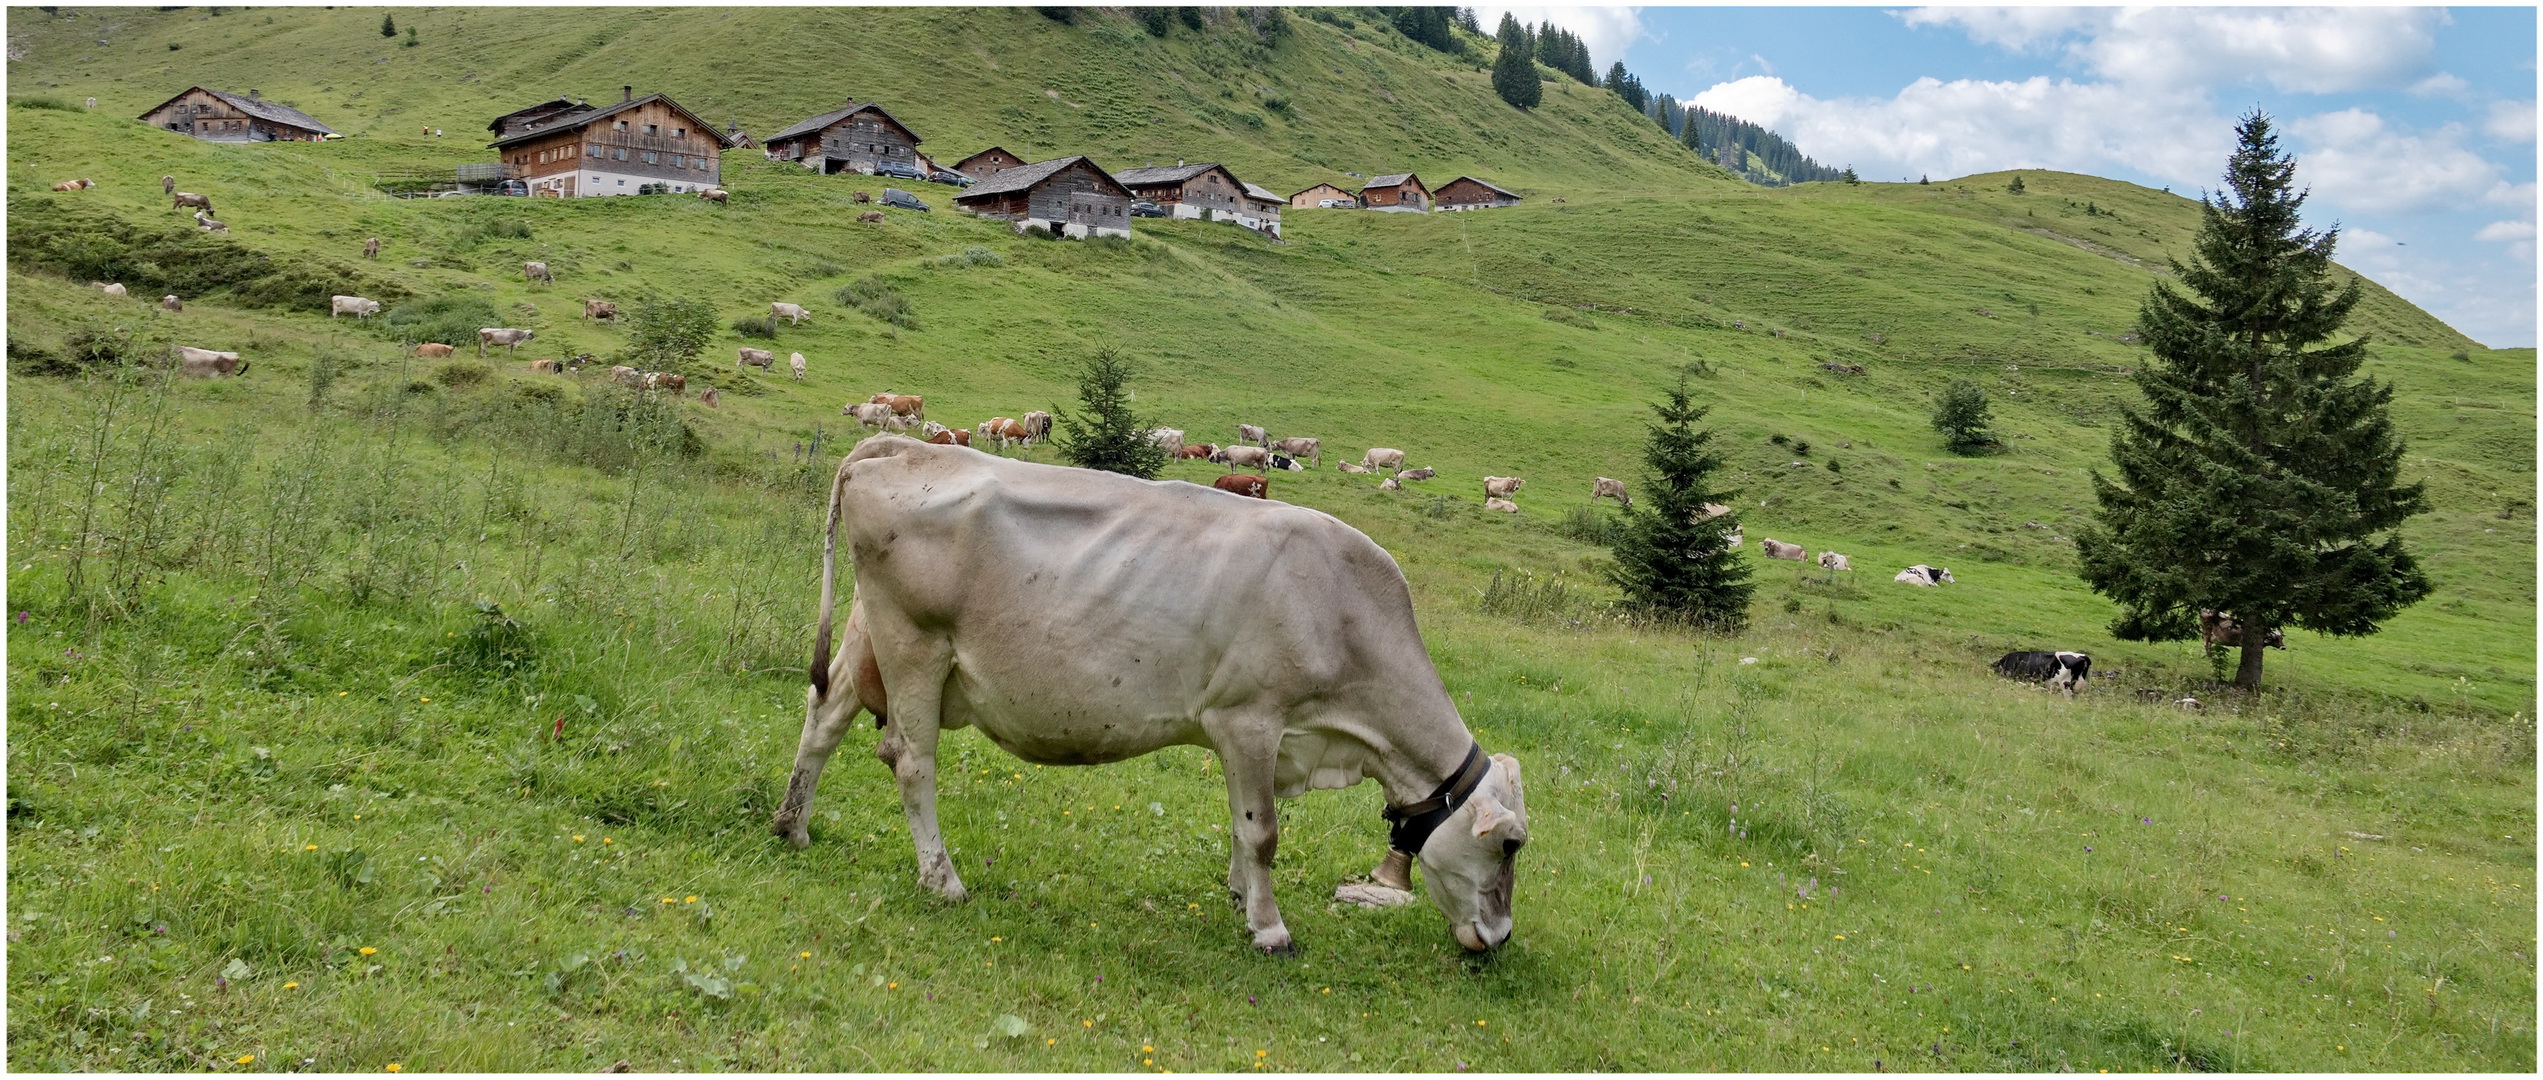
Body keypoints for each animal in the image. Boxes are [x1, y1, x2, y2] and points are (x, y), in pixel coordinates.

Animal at [773, 437, 1525, 950]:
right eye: (1512, 846)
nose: (1501, 938)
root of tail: (902, 446)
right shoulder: (1249, 718)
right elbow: (1263, 832)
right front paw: (1270, 928)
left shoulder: (1258, 735)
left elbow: (1239, 823)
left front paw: (1238, 899)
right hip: (916, 644)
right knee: (909, 759)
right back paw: (943, 881)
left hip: (869, 637)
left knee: (823, 716)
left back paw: (791, 827)